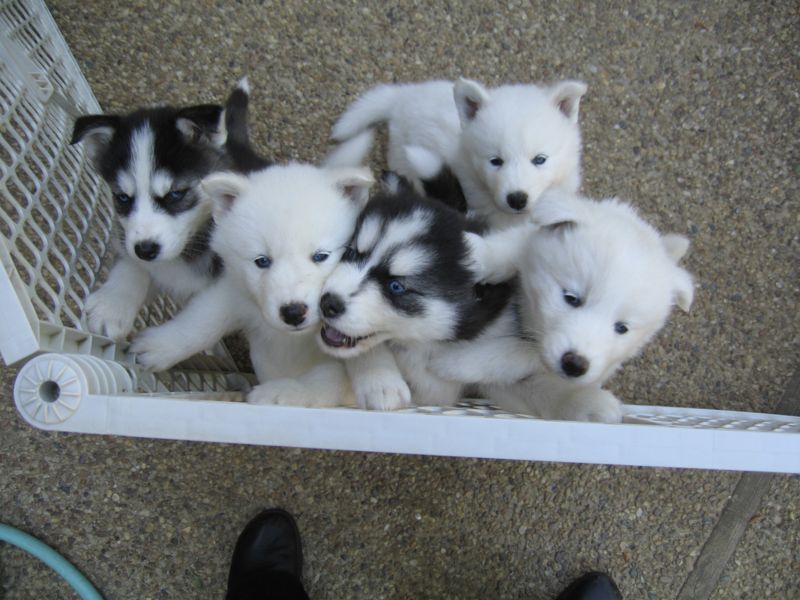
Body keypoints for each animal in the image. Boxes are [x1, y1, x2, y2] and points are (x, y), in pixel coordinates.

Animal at [70, 77, 268, 340]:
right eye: (122, 198)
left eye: (175, 193)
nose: (145, 250)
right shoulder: (129, 241)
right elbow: (130, 261)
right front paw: (112, 305)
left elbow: (208, 318)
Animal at [132, 163, 376, 408]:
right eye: (262, 261)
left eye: (320, 256)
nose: (293, 313)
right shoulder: (234, 291)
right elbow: (202, 322)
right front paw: (159, 346)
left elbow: (328, 378)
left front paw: (279, 393)